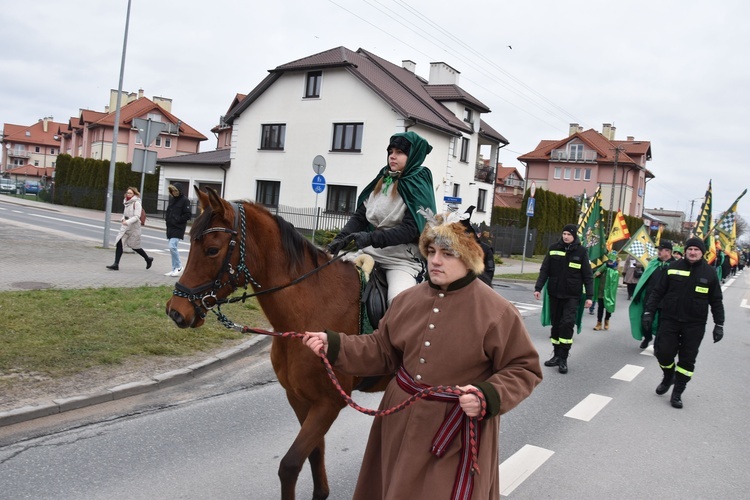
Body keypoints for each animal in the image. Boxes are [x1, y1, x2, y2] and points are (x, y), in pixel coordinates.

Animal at [167, 188, 384, 500]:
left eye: (211, 250)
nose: (176, 311)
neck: (311, 309)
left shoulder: (329, 403)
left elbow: (290, 465)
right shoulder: (299, 399)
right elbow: (314, 455)